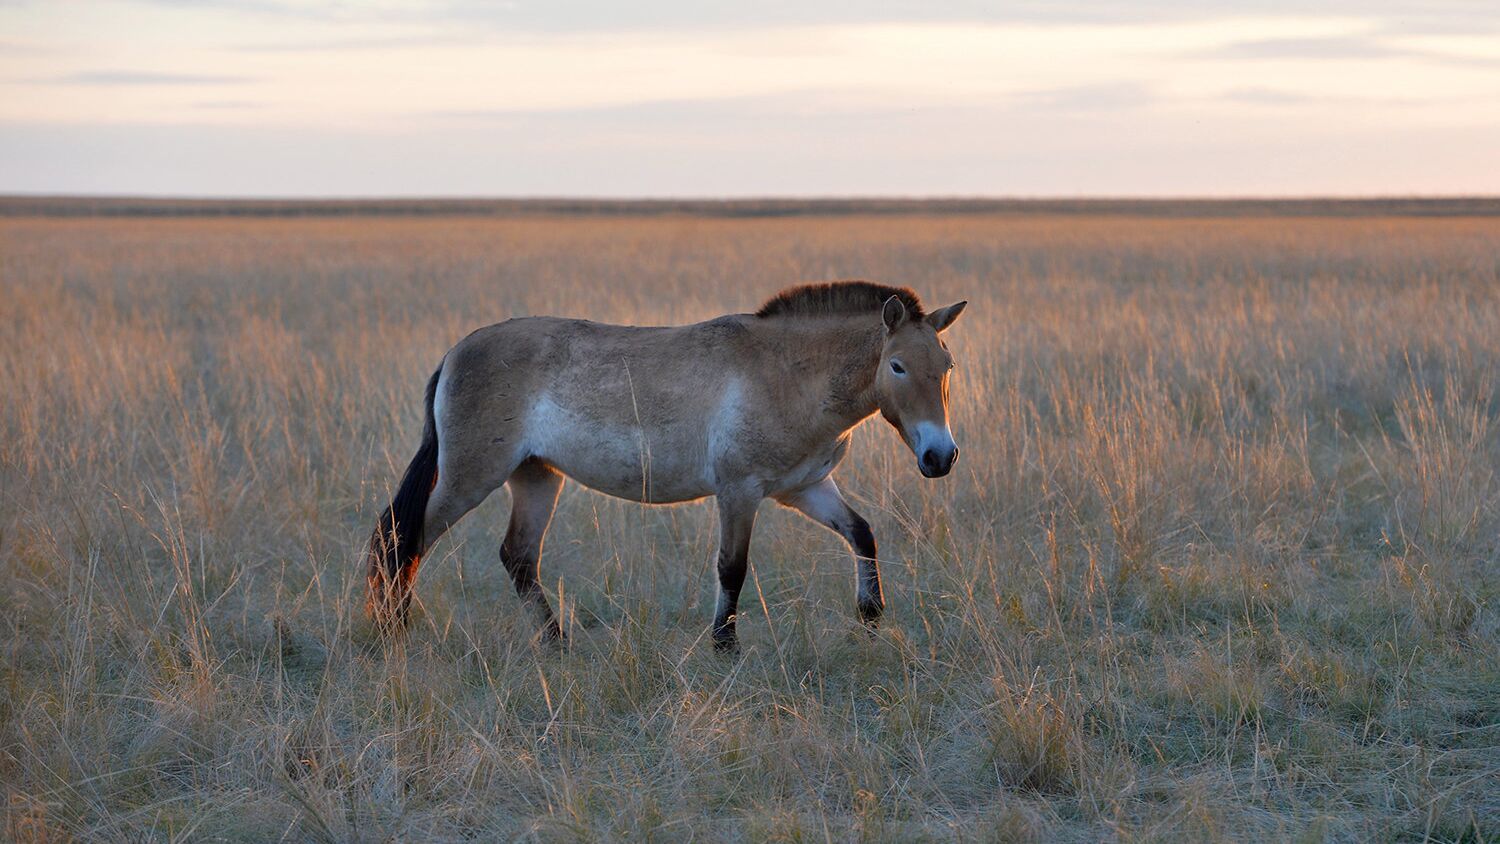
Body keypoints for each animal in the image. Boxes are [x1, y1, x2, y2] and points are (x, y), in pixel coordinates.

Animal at [369, 280, 966, 650]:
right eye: (897, 366)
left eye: (947, 365)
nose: (940, 457)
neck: (787, 373)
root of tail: (455, 353)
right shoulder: (739, 492)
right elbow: (732, 568)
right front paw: (724, 646)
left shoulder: (806, 488)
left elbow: (862, 534)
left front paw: (870, 616)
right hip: (470, 477)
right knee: (405, 538)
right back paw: (392, 633)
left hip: (536, 476)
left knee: (517, 557)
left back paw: (557, 643)